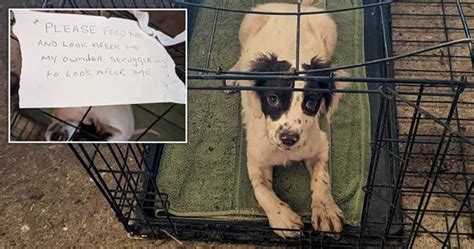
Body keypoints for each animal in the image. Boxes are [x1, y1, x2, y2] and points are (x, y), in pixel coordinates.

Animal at [226, 1, 348, 239]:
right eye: (272, 98)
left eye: (311, 103)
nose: (288, 138)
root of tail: (291, 6)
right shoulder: (256, 159)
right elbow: (262, 190)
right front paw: (282, 218)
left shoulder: (320, 146)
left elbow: (322, 179)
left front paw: (325, 210)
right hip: (248, 23)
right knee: (242, 54)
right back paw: (235, 74)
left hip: (330, 29)